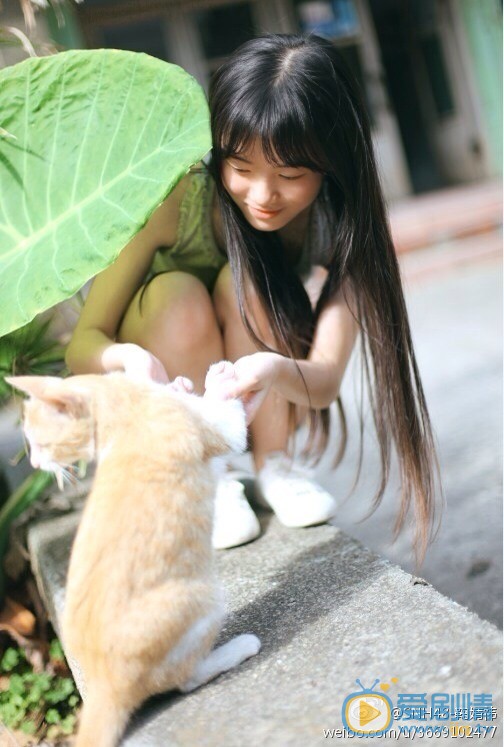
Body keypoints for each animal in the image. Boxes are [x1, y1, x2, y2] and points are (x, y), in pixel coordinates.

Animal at [7, 374, 262, 747]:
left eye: (42, 445)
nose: (38, 466)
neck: (125, 411)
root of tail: (102, 686)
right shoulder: (221, 431)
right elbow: (229, 416)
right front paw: (219, 380)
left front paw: (183, 384)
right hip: (205, 598)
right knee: (184, 679)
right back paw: (237, 649)